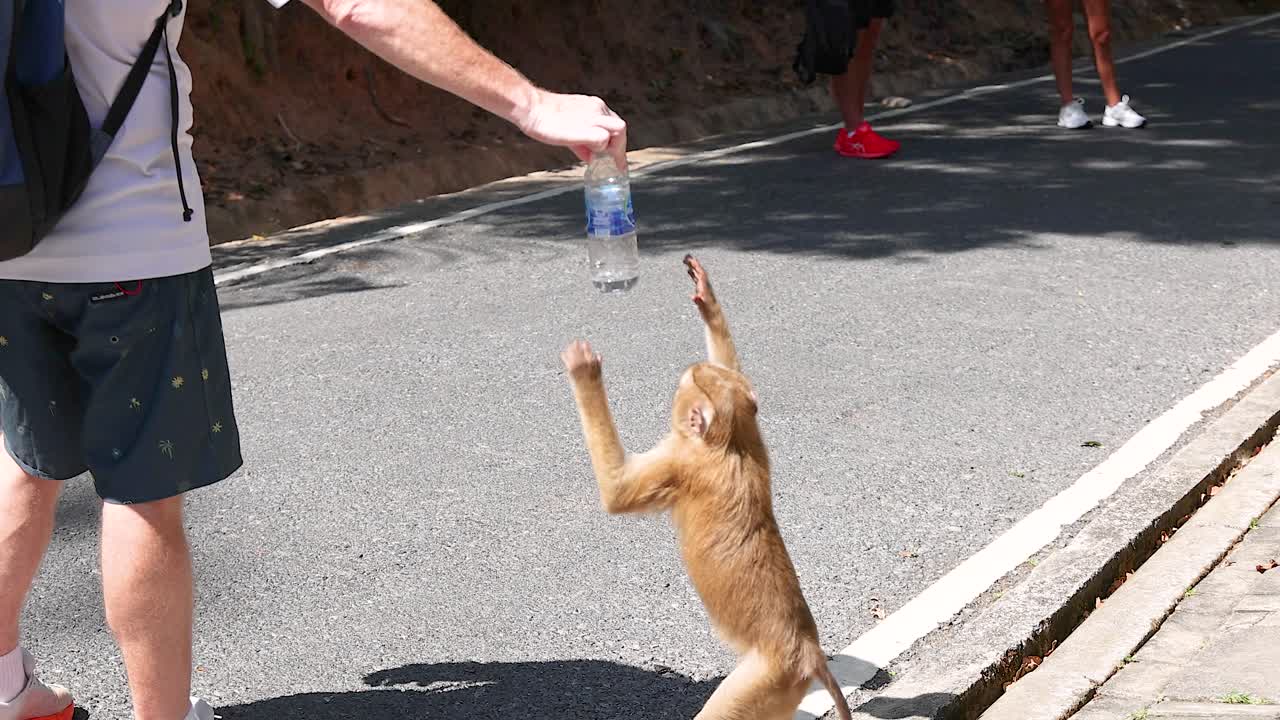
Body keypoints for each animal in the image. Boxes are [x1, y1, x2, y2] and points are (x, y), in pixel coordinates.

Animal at [561, 255, 853, 720]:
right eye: (703, 374)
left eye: (687, 384)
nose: (688, 368)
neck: (728, 444)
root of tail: (809, 652)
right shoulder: (752, 438)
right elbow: (734, 366)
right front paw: (706, 297)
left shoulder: (682, 463)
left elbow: (617, 491)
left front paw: (586, 370)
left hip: (764, 680)